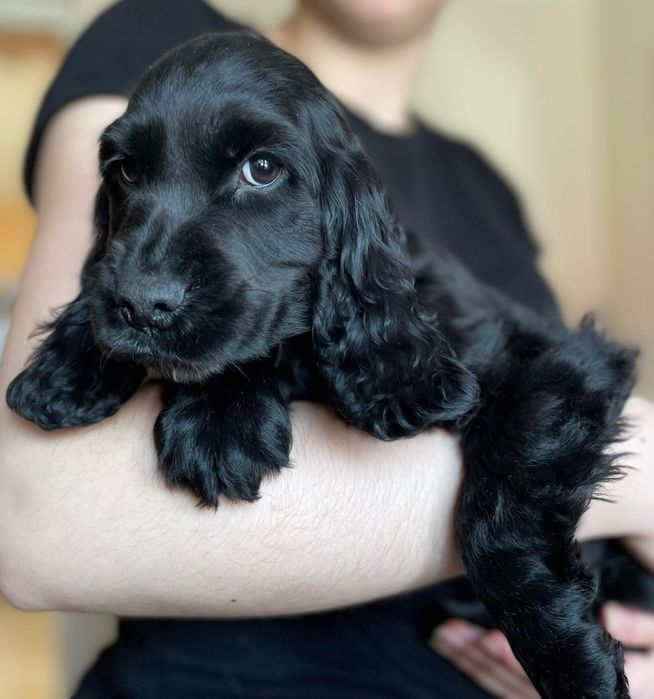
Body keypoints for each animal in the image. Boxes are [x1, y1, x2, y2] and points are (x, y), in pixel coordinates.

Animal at [6, 31, 640, 696]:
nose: (138, 305)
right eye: (126, 170)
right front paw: (221, 419)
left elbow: (499, 515)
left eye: (261, 170)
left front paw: (571, 661)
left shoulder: (556, 360)